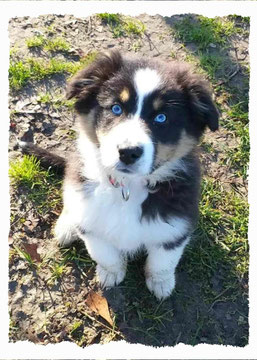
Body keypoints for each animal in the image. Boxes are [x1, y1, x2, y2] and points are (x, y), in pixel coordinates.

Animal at [21, 50, 218, 298]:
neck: (128, 186)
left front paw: (161, 283)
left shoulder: (176, 223)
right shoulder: (91, 220)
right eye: (116, 108)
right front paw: (111, 273)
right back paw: (66, 227)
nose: (128, 152)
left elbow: (163, 259)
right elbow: (103, 251)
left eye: (161, 118)